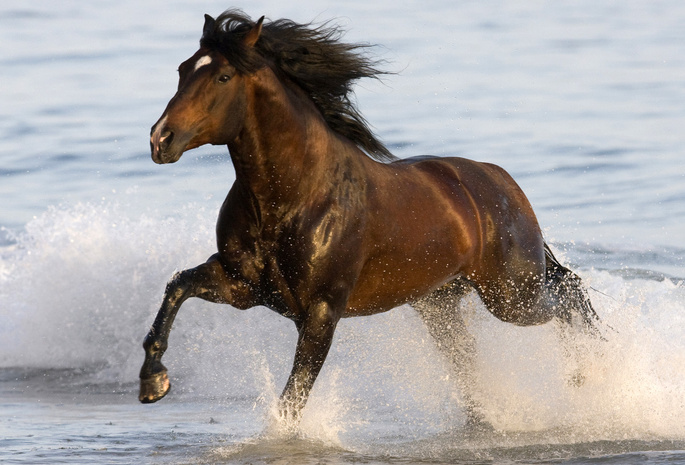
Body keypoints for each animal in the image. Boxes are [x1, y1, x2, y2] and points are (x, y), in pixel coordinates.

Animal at [140, 10, 600, 424]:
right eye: (182, 69)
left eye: (222, 77)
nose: (161, 140)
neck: (294, 197)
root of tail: (501, 181)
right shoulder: (242, 286)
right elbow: (178, 286)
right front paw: (153, 382)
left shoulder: (322, 311)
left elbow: (293, 399)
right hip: (440, 303)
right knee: (471, 355)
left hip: (511, 294)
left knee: (569, 294)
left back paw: (586, 375)